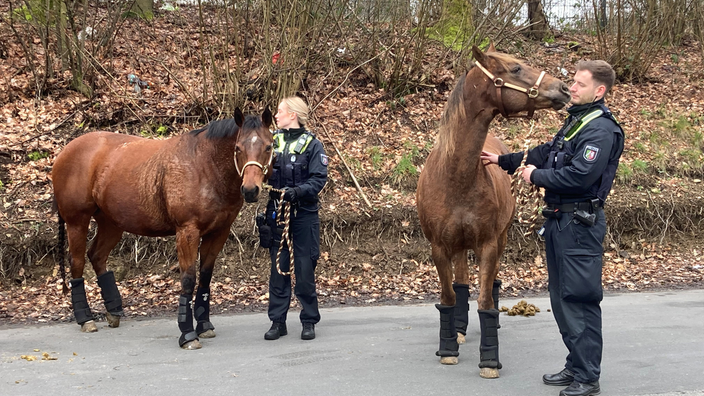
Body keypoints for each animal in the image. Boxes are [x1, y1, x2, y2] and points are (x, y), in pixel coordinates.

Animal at [53, 108, 276, 350]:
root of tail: (64, 152)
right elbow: (188, 278)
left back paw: (113, 311)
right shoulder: (187, 232)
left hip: (111, 223)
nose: (251, 190)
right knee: (77, 263)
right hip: (77, 222)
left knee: (97, 256)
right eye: (238, 148)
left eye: (268, 146)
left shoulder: (219, 232)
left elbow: (205, 277)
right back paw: (85, 319)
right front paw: (188, 334)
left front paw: (204, 326)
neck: (205, 165)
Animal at [416, 45, 568, 378]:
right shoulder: (439, 248)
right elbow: (448, 296)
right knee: (461, 283)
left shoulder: (487, 244)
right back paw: (459, 329)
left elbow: (485, 299)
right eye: (515, 68)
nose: (563, 88)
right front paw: (448, 347)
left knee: (493, 280)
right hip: (459, 246)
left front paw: (488, 359)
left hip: (500, 239)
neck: (456, 175)